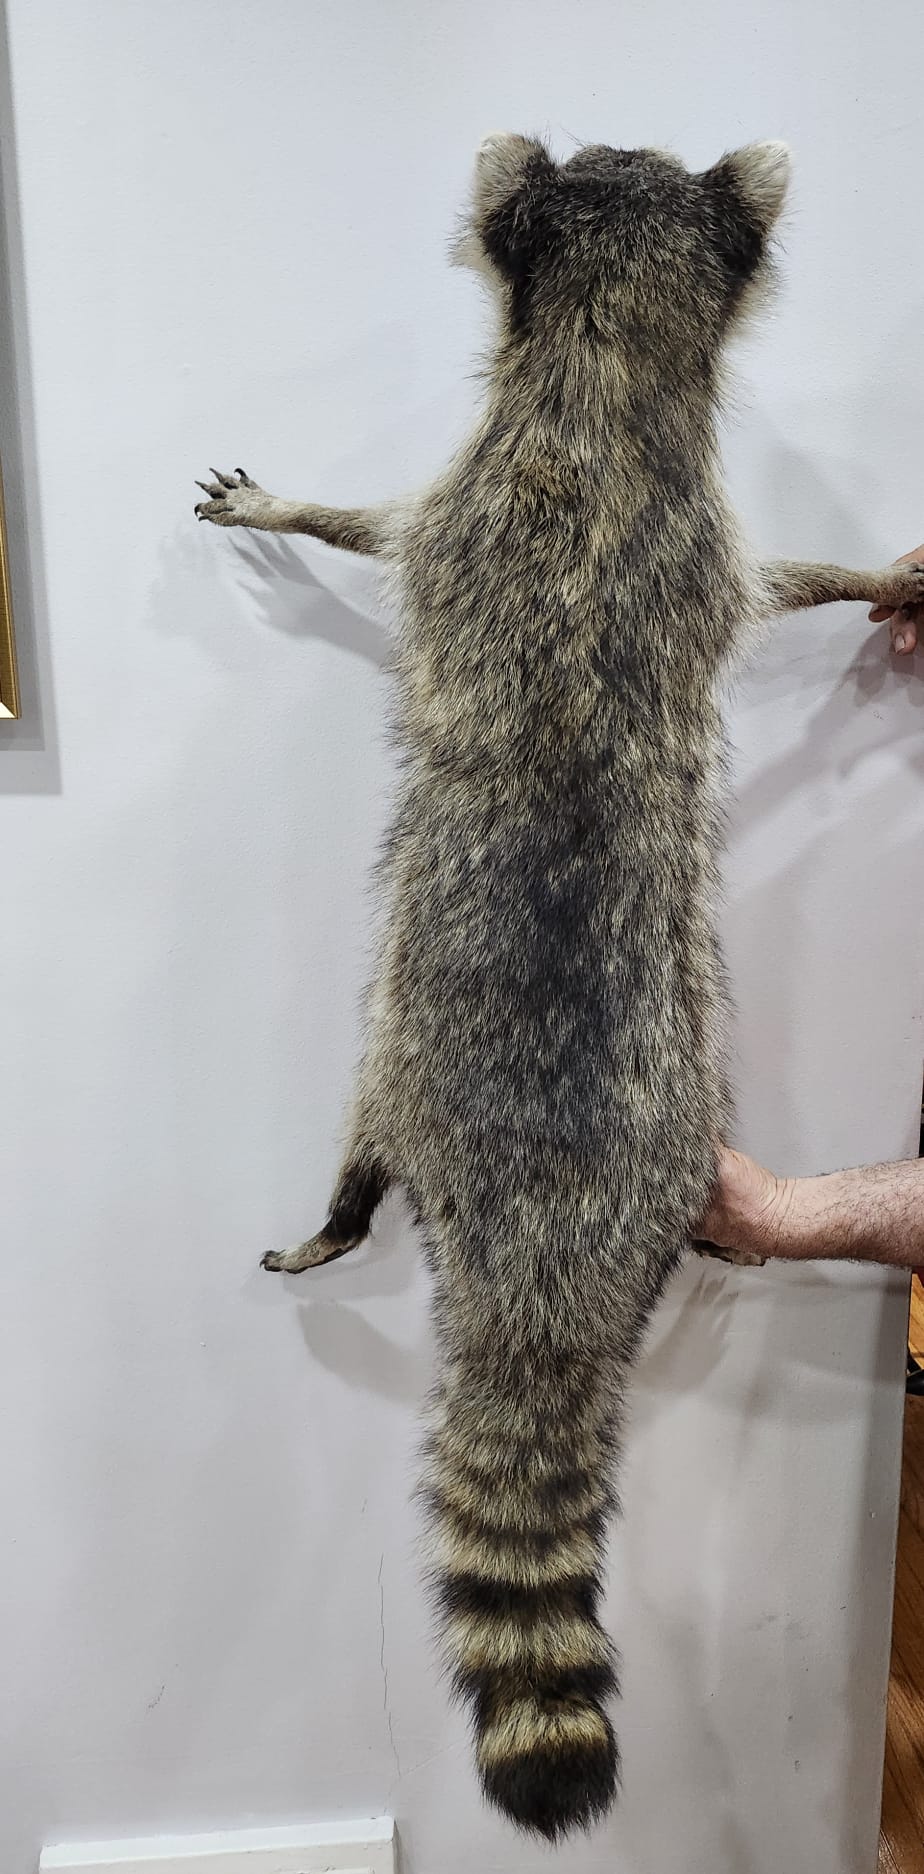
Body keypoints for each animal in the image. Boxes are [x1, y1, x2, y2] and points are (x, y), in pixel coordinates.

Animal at [195, 134, 924, 1840]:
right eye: (617, 167)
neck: (611, 366)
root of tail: (541, 1269)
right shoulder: (697, 539)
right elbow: (780, 577)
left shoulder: (476, 504)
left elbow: (378, 530)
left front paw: (298, 511)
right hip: (682, 1118)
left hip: (401, 1039)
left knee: (370, 1103)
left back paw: (343, 1200)